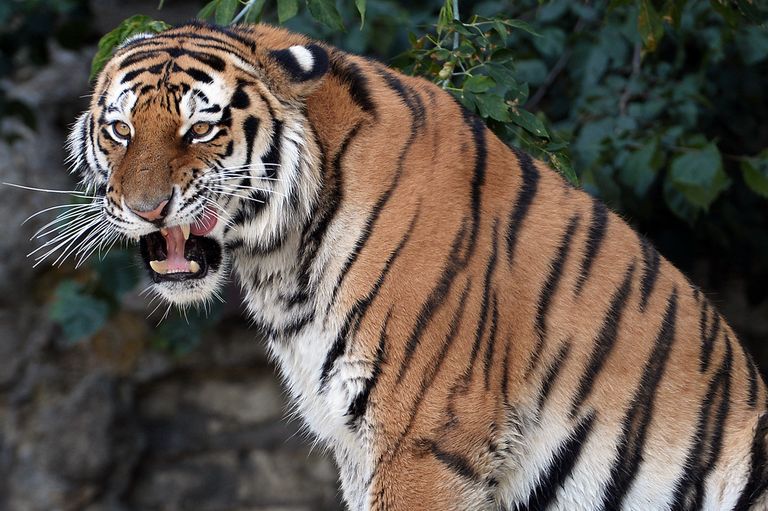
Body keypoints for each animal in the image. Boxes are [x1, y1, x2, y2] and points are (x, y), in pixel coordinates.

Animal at [64, 20, 768, 510]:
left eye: (200, 130)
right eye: (120, 130)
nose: (146, 209)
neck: (282, 259)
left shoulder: (425, 436)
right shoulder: (355, 444)